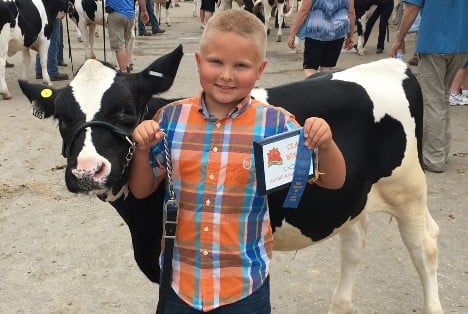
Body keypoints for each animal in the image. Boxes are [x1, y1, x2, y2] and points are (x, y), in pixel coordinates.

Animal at [17, 45, 442, 312]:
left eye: (125, 110)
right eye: (61, 117)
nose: (87, 171)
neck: (141, 224)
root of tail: (394, 65)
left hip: (408, 190)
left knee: (425, 247)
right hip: (355, 197)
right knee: (355, 245)